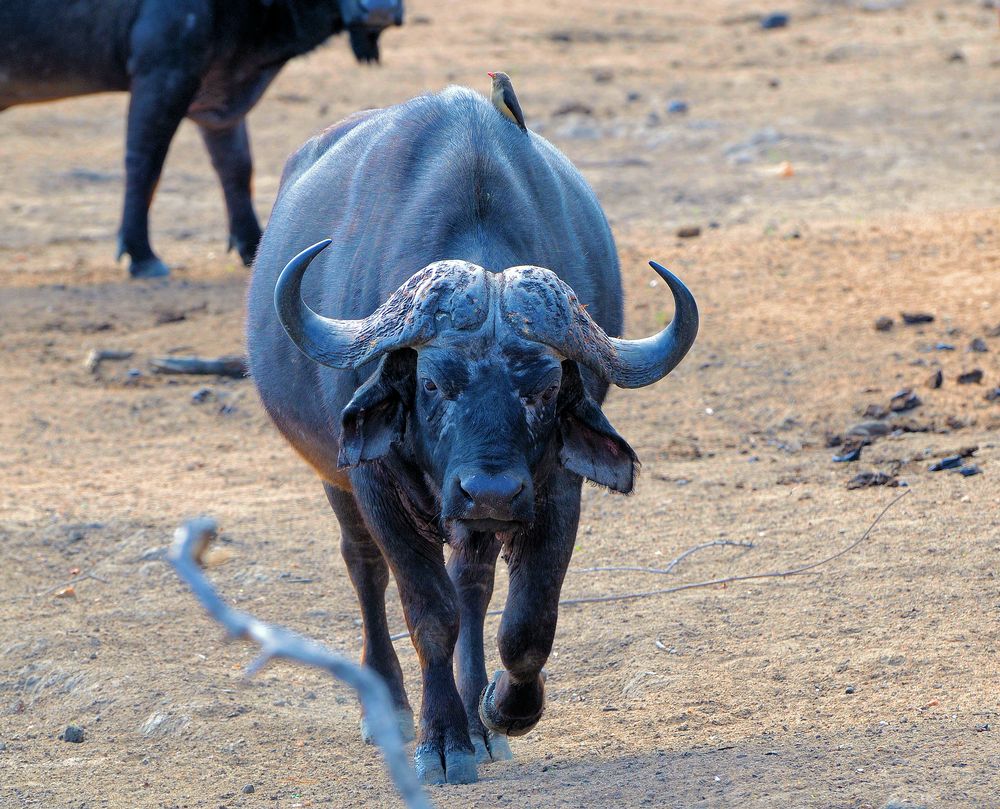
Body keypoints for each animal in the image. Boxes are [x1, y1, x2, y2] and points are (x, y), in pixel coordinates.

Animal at [1, 0, 406, 278]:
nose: (380, 9)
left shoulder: (215, 100)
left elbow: (237, 168)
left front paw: (253, 245)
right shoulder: (163, 75)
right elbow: (145, 164)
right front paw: (141, 253)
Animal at [246, 87, 700, 784]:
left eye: (543, 388)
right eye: (433, 383)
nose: (489, 491)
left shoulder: (554, 489)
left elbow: (527, 622)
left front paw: (502, 710)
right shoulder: (375, 483)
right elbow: (428, 615)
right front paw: (443, 742)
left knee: (473, 588)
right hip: (336, 478)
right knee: (364, 568)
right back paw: (390, 705)